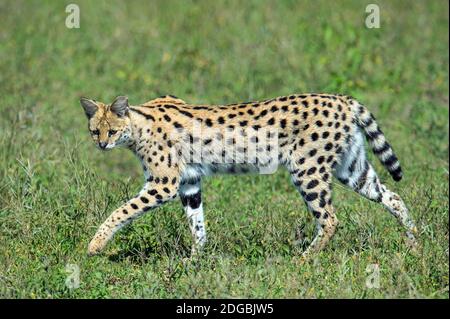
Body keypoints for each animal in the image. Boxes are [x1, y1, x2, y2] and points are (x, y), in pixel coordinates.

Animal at [80, 94, 418, 258]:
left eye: (112, 131)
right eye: (95, 130)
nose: (101, 144)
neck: (138, 125)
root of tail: (342, 99)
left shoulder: (163, 185)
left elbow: (121, 211)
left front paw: (95, 245)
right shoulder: (189, 183)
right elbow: (197, 225)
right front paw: (195, 260)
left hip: (307, 170)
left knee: (331, 219)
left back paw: (305, 259)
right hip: (351, 168)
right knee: (394, 196)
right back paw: (415, 243)